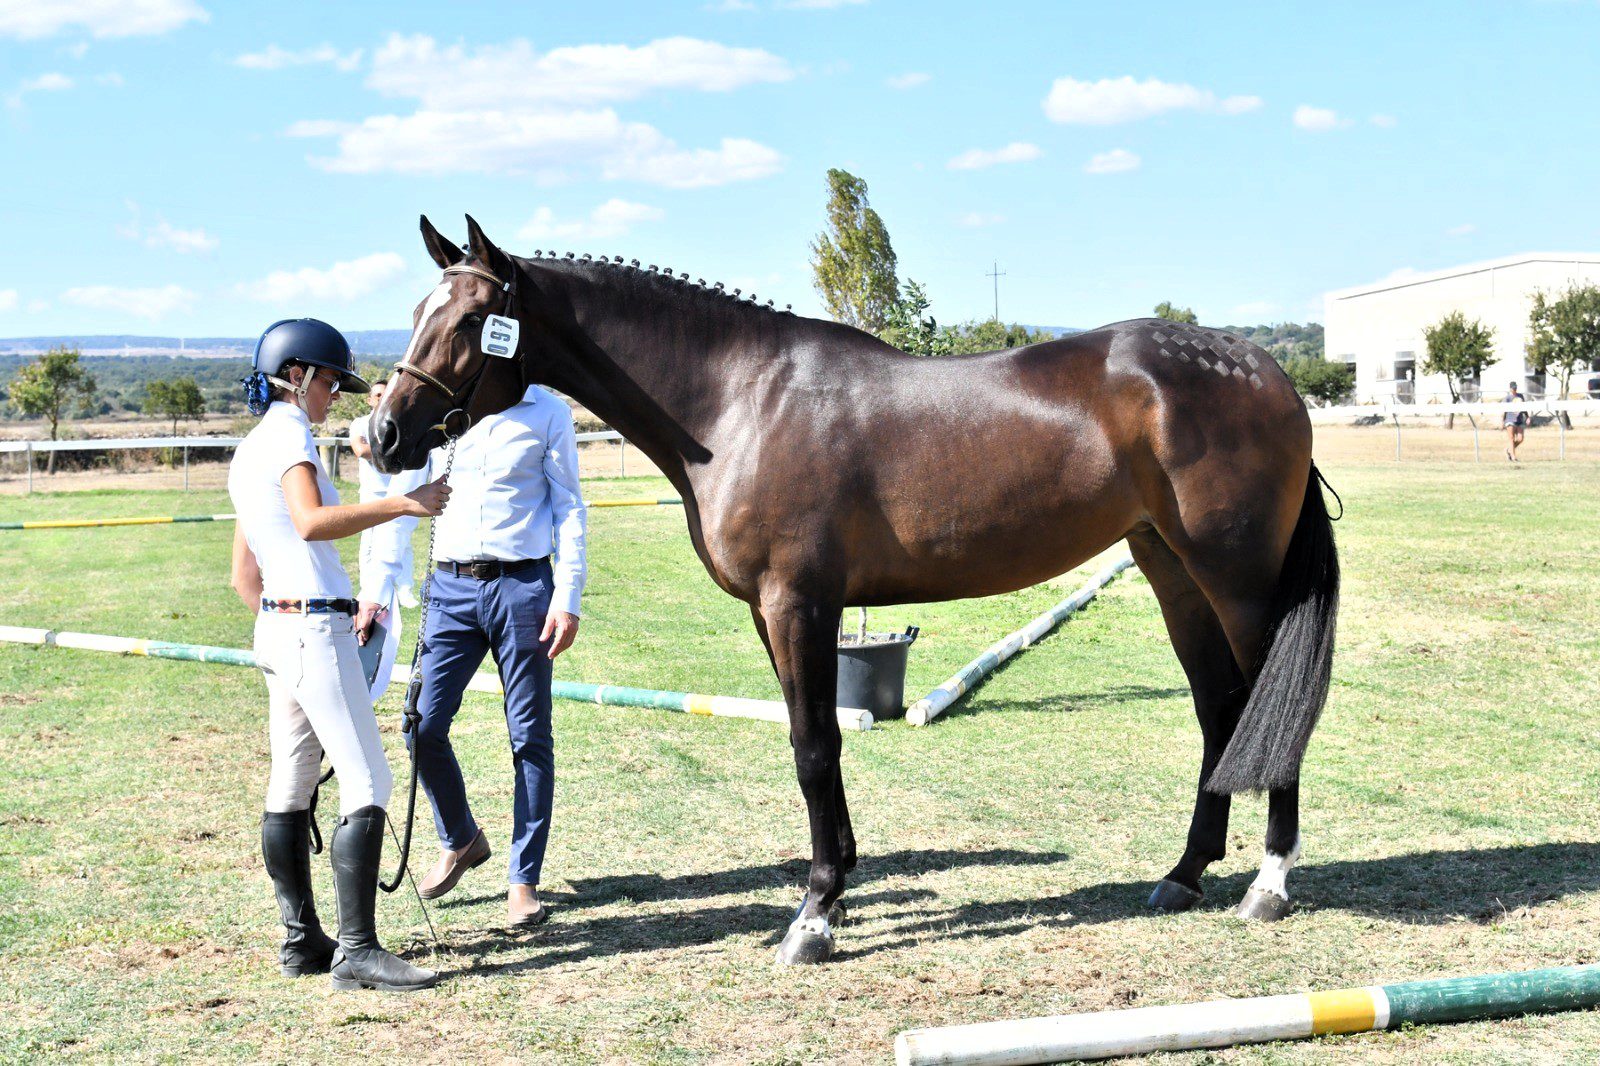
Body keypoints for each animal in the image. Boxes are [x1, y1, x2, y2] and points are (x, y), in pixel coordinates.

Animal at [371, 216, 1337, 960]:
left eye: (471, 319)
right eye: (415, 313)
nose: (382, 435)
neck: (737, 401)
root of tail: (1266, 373)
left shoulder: (798, 604)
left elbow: (813, 747)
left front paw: (814, 917)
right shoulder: (774, 615)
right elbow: (817, 745)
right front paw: (835, 890)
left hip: (1239, 582)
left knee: (1274, 707)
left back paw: (1269, 883)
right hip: (1171, 569)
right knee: (1220, 709)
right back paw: (1184, 876)